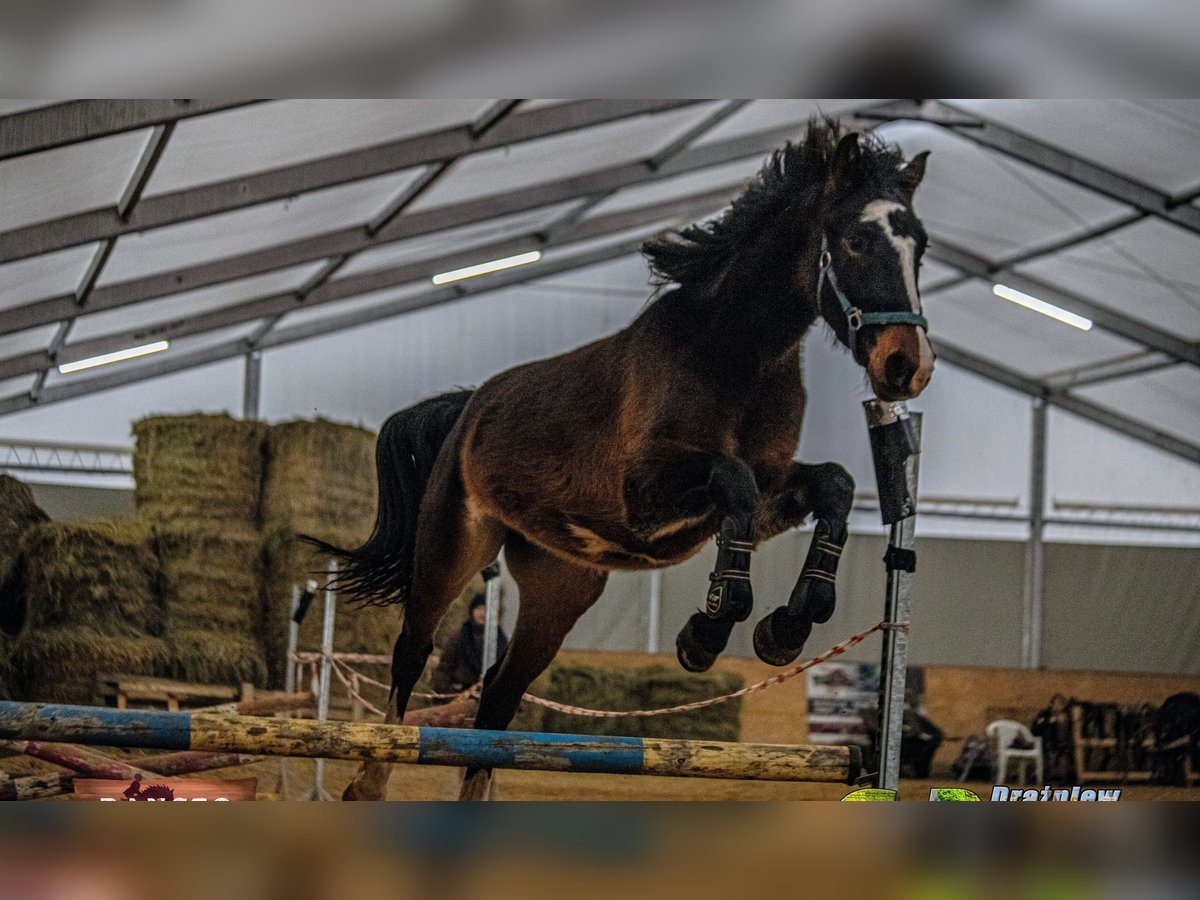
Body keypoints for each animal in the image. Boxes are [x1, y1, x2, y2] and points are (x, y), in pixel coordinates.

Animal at [309, 121, 936, 801]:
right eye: (855, 240)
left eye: (920, 247)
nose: (907, 365)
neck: (737, 357)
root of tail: (469, 408)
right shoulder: (647, 495)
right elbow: (734, 483)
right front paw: (708, 633)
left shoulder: (771, 490)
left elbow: (834, 488)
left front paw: (786, 627)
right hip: (453, 545)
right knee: (411, 653)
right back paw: (368, 780)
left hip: (562, 586)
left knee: (500, 693)